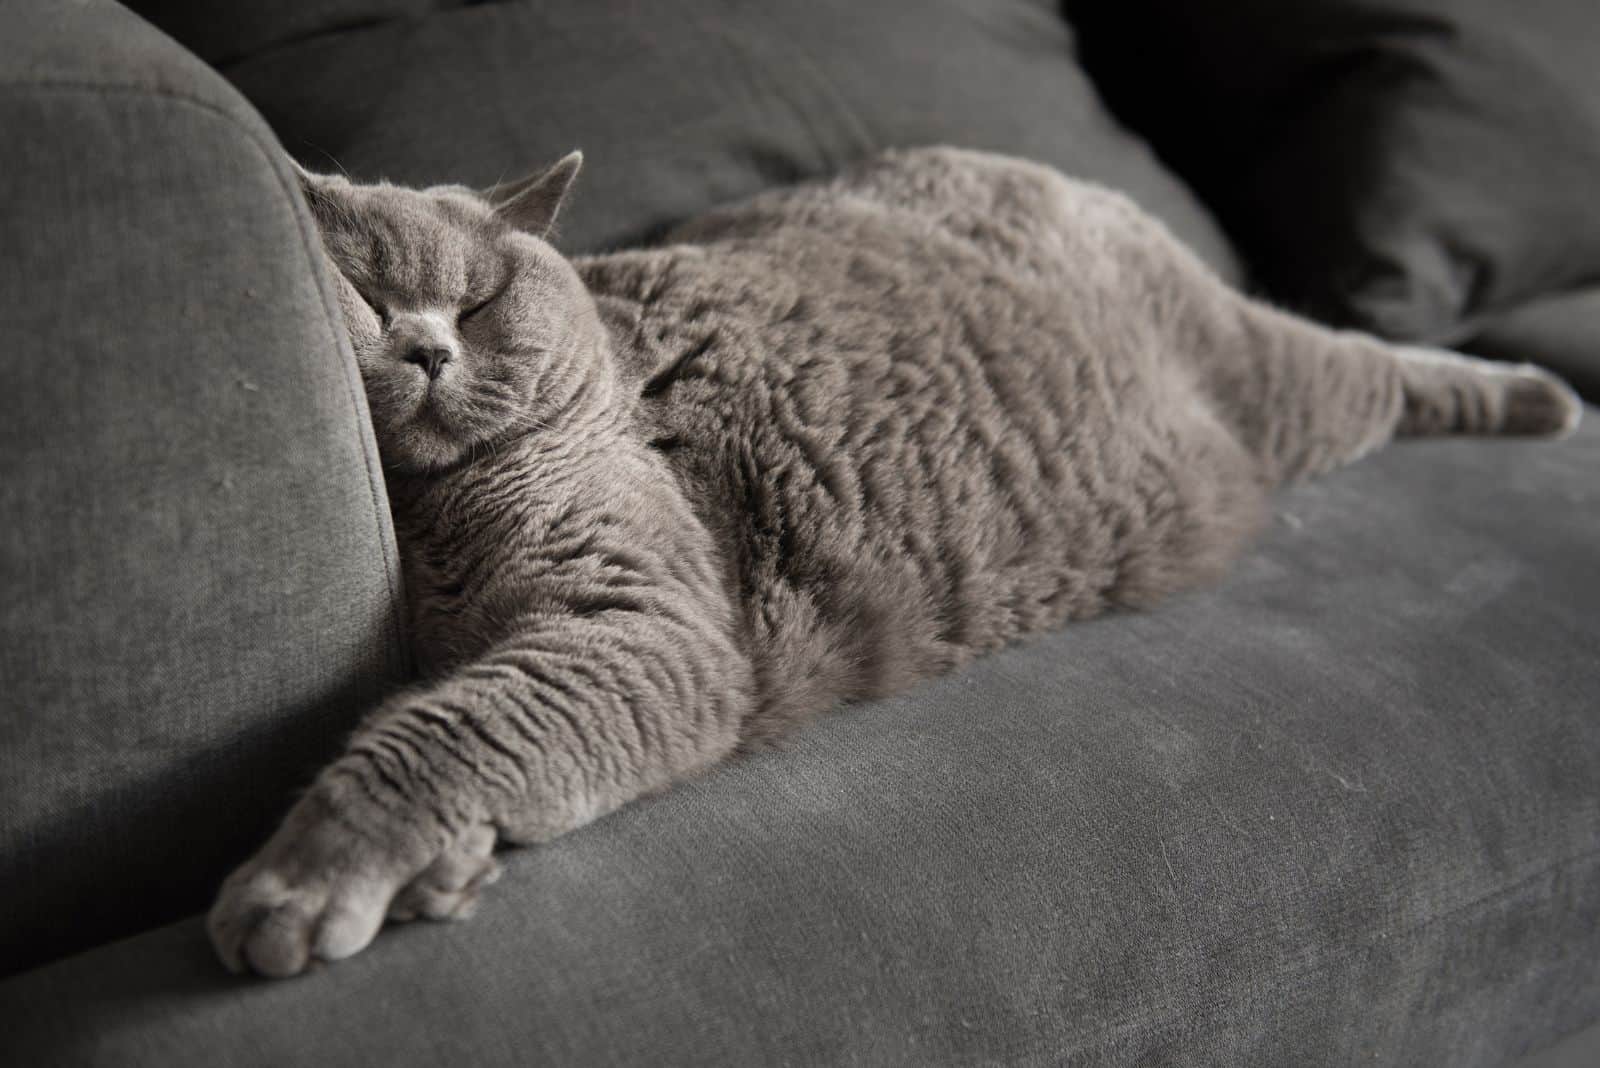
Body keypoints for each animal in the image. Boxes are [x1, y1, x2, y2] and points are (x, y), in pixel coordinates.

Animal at [206, 147, 1580, 978]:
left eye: (483, 300)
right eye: (367, 298)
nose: (429, 349)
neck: (435, 517)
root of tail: (1026, 161)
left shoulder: (645, 624)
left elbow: (447, 728)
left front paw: (299, 887)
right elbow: (459, 713)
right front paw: (443, 872)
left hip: (1277, 393)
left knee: (1377, 362)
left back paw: (1541, 398)